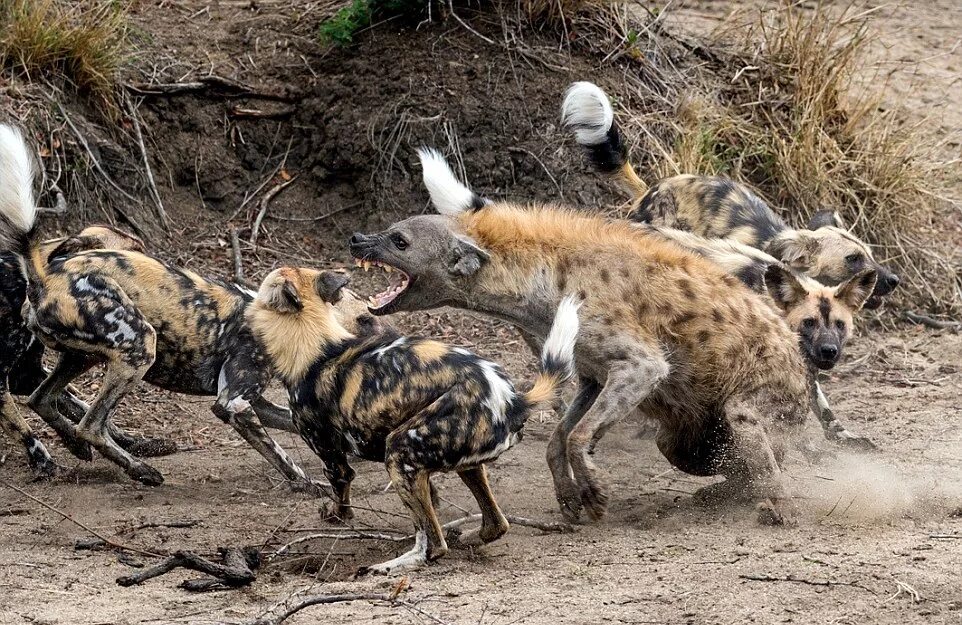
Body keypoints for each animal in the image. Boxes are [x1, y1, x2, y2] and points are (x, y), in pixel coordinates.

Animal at [1, 227, 180, 476]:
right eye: (132, 252)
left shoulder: (27, 374)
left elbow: (81, 409)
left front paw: (133, 444)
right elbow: (24, 431)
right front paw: (45, 462)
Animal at [248, 266, 576, 572]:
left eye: (260, 292)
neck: (316, 343)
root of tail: (513, 399)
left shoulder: (333, 459)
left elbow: (341, 491)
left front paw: (336, 515)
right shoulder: (417, 473)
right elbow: (432, 496)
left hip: (398, 451)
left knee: (433, 545)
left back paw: (388, 566)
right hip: (460, 465)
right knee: (495, 524)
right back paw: (464, 537)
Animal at [348, 149, 812, 524]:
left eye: (399, 240)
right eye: (390, 230)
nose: (356, 238)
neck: (543, 291)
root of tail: (798, 356)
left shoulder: (639, 364)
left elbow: (579, 433)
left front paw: (595, 495)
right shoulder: (590, 373)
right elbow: (559, 436)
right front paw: (570, 498)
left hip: (763, 395)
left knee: (757, 442)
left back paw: (777, 507)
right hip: (682, 434)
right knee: (703, 454)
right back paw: (719, 493)